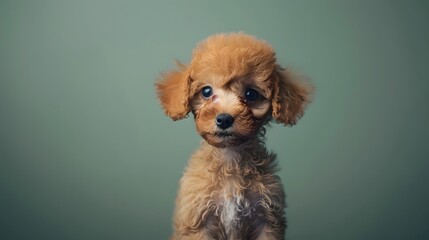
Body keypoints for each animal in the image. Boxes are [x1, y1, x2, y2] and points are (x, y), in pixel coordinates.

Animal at [155, 32, 312, 239]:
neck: (230, 157)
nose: (224, 119)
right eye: (206, 91)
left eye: (251, 94)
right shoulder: (198, 221)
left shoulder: (267, 218)